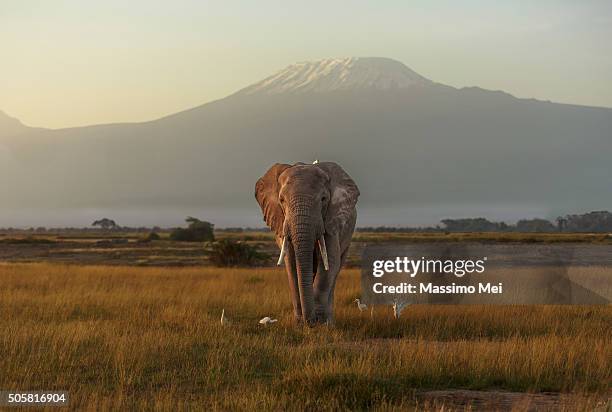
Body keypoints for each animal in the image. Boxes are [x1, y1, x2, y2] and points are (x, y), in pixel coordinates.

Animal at [255, 161, 358, 326]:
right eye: (281, 200)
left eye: (323, 199)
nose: (310, 322)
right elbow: (291, 264)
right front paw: (300, 324)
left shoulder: (331, 219)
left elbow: (330, 262)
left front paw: (322, 325)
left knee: (336, 270)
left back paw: (329, 321)